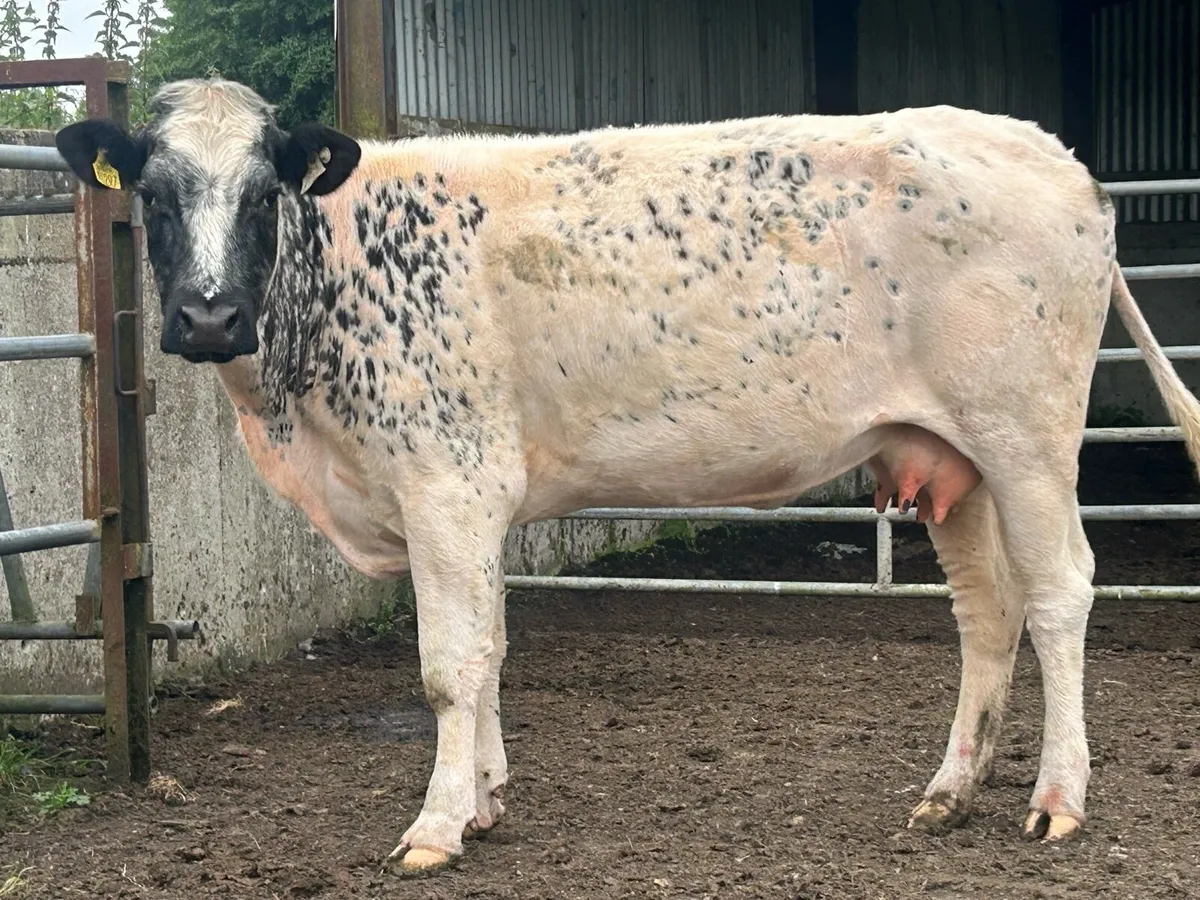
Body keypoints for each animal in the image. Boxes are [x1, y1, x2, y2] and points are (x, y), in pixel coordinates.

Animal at [55, 77, 1200, 874]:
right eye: (154, 194)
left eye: (263, 195)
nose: (208, 316)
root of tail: (1057, 157)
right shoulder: (475, 506)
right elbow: (494, 651)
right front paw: (485, 801)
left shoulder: (445, 487)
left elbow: (449, 666)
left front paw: (436, 825)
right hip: (946, 457)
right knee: (987, 612)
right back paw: (949, 792)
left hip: (1027, 437)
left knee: (1058, 594)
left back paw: (1057, 798)